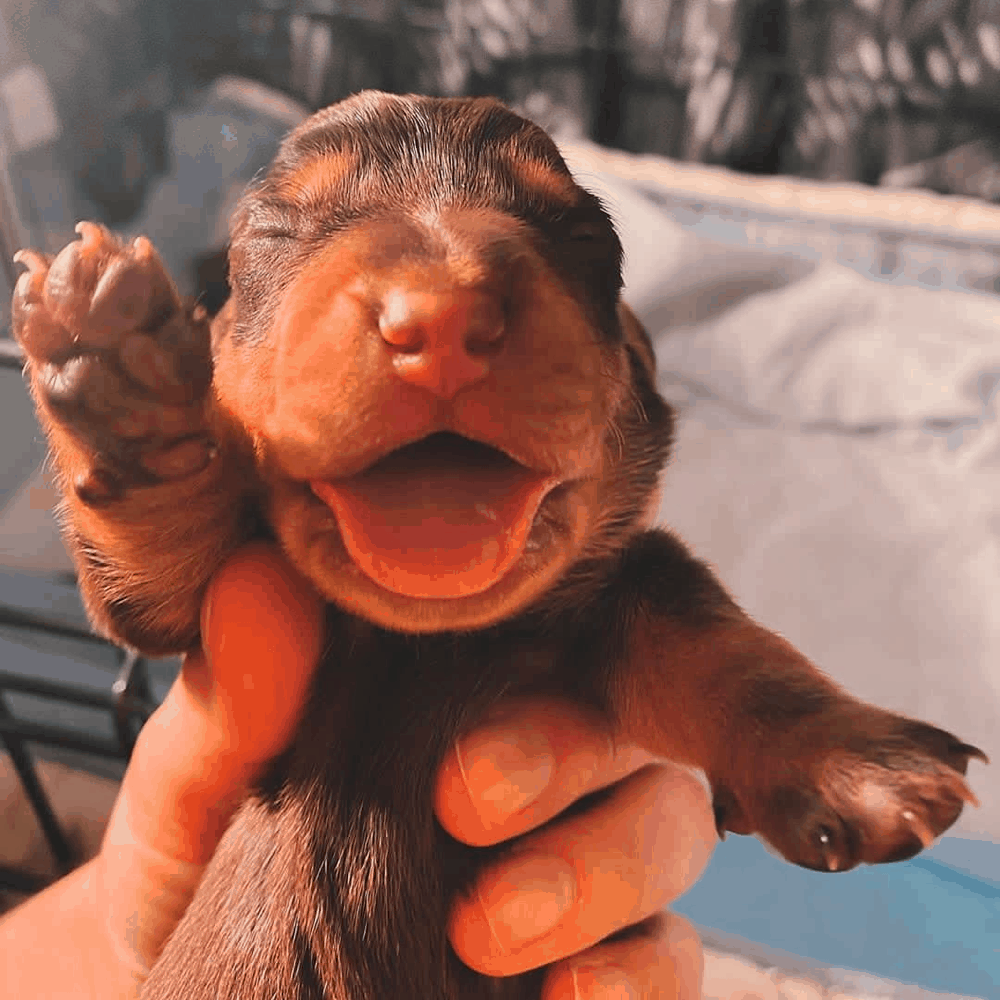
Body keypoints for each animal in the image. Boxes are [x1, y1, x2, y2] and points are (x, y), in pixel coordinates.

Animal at [11, 90, 988, 996]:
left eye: (586, 234)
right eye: (273, 231)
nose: (441, 319)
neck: (425, 645)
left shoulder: (623, 592)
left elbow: (725, 650)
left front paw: (869, 764)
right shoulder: (205, 602)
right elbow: (161, 556)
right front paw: (117, 360)